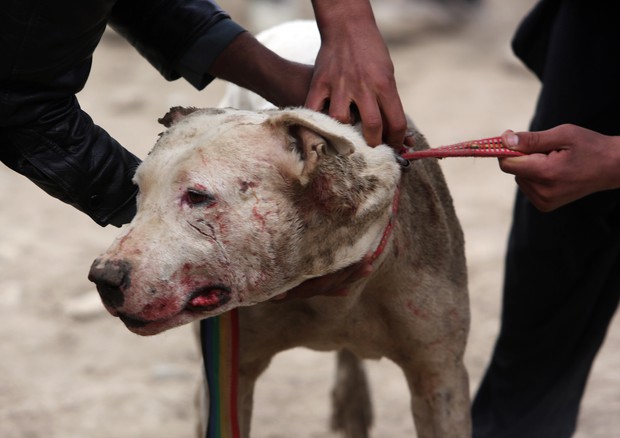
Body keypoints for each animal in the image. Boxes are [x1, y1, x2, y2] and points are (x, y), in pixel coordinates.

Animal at [88, 18, 470, 436]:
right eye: (137, 190)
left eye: (198, 196)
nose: (103, 277)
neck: (323, 279)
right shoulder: (226, 376)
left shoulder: (439, 376)